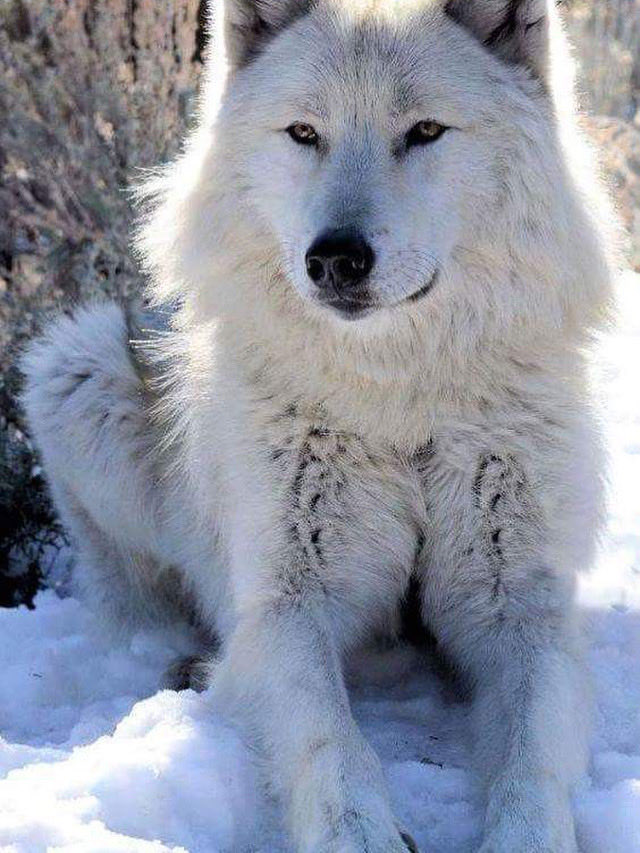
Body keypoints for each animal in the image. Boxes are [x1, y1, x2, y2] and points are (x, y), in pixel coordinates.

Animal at [21, 0, 618, 850]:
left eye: (425, 131)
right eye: (305, 132)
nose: (335, 257)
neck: (398, 407)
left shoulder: (518, 609)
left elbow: (532, 756)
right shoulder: (289, 604)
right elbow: (327, 737)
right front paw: (359, 831)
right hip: (79, 368)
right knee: (144, 609)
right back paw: (188, 666)